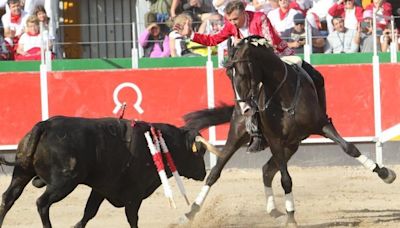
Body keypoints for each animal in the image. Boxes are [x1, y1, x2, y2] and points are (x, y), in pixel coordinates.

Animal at [0, 116, 219, 227]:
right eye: (199, 153)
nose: (203, 173)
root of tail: (44, 125)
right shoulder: (134, 194)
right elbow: (132, 218)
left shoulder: (101, 189)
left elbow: (89, 212)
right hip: (64, 182)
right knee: (42, 203)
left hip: (21, 173)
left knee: (8, 197)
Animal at [181, 36, 396, 226]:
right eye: (228, 75)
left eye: (243, 73)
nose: (246, 109)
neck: (284, 95)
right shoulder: (274, 140)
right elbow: (286, 179)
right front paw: (292, 217)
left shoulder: (321, 124)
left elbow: (350, 148)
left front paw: (385, 173)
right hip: (237, 135)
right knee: (215, 172)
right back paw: (190, 212)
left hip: (292, 145)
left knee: (267, 171)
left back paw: (275, 212)